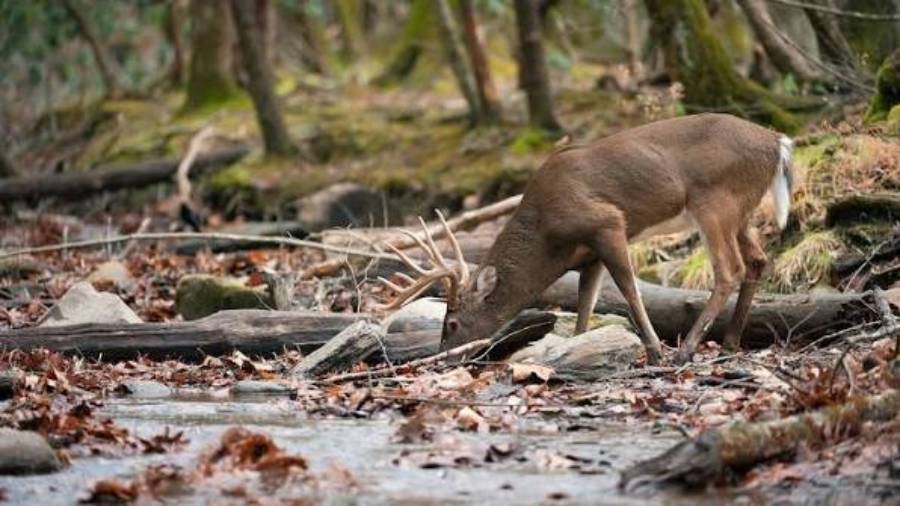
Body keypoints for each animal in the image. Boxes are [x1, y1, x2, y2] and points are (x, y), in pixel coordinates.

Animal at [379, 113, 794, 365]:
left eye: (451, 323)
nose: (443, 356)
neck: (547, 232)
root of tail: (777, 142)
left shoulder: (606, 222)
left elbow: (628, 289)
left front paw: (654, 352)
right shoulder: (589, 255)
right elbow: (585, 303)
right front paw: (578, 347)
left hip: (715, 201)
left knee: (729, 269)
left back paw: (686, 350)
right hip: (741, 211)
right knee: (758, 260)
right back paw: (731, 341)